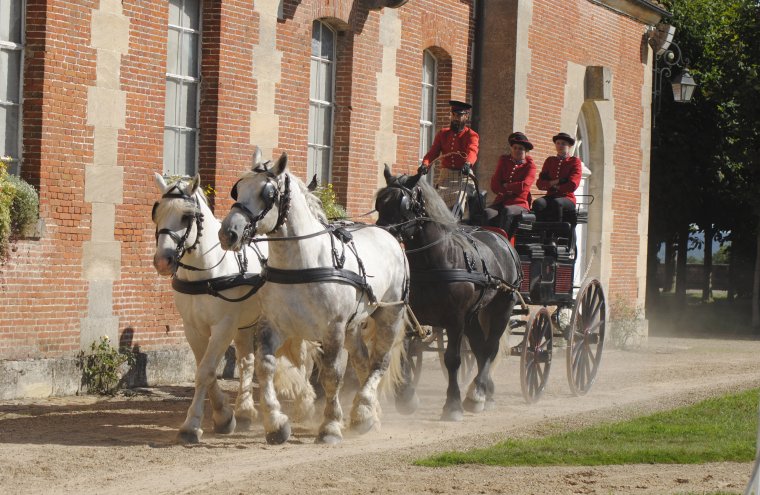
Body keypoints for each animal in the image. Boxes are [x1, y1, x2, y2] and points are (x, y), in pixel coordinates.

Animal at [151, 174, 318, 446]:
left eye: (186, 216)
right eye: (157, 213)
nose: (162, 261)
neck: (207, 273)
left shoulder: (223, 327)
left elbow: (206, 371)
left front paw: (191, 425)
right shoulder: (193, 329)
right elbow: (205, 371)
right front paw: (224, 416)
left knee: (303, 358)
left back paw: (305, 402)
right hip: (246, 324)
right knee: (247, 362)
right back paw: (245, 411)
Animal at [217, 152, 412, 446]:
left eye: (268, 193)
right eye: (237, 189)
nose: (228, 233)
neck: (301, 264)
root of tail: (388, 233)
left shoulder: (332, 330)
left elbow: (331, 376)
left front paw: (330, 426)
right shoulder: (274, 325)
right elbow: (266, 367)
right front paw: (276, 423)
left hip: (390, 315)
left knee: (379, 363)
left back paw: (363, 412)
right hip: (353, 326)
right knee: (363, 362)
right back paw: (369, 414)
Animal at [376, 168, 524, 422]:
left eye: (402, 204)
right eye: (379, 203)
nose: (381, 236)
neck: (433, 262)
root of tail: (501, 238)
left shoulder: (455, 320)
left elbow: (452, 359)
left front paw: (452, 405)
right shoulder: (411, 317)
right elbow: (405, 354)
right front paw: (406, 397)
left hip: (502, 307)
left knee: (490, 348)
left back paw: (477, 394)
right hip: (473, 317)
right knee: (479, 348)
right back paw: (486, 393)